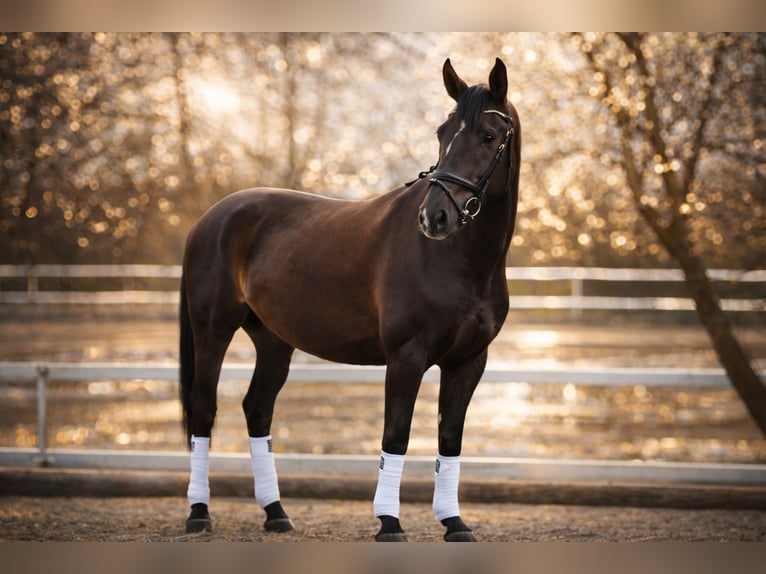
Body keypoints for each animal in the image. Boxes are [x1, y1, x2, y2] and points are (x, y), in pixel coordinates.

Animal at [179, 57, 521, 542]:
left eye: (489, 136)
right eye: (442, 133)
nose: (434, 218)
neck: (461, 260)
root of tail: (209, 218)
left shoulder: (468, 362)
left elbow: (449, 440)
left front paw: (454, 523)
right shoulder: (407, 357)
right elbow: (395, 436)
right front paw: (389, 523)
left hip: (273, 341)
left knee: (257, 409)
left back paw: (276, 513)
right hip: (212, 332)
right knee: (203, 411)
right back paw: (199, 513)